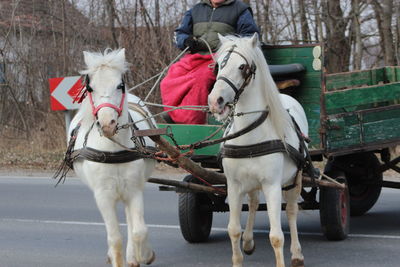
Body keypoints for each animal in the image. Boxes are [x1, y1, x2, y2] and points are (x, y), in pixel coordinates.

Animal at [68, 49, 155, 266]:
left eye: (119, 85)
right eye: (90, 88)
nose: (108, 124)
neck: (113, 149)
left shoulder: (134, 190)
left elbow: (139, 230)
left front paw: (144, 255)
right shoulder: (103, 195)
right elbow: (114, 238)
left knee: (132, 223)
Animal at [208, 33, 308, 267]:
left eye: (242, 67)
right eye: (218, 65)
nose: (215, 101)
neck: (250, 133)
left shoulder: (272, 186)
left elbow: (276, 236)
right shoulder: (234, 185)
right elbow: (233, 230)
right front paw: (239, 255)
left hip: (294, 179)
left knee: (291, 211)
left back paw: (297, 254)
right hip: (252, 183)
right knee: (253, 203)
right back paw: (248, 241)